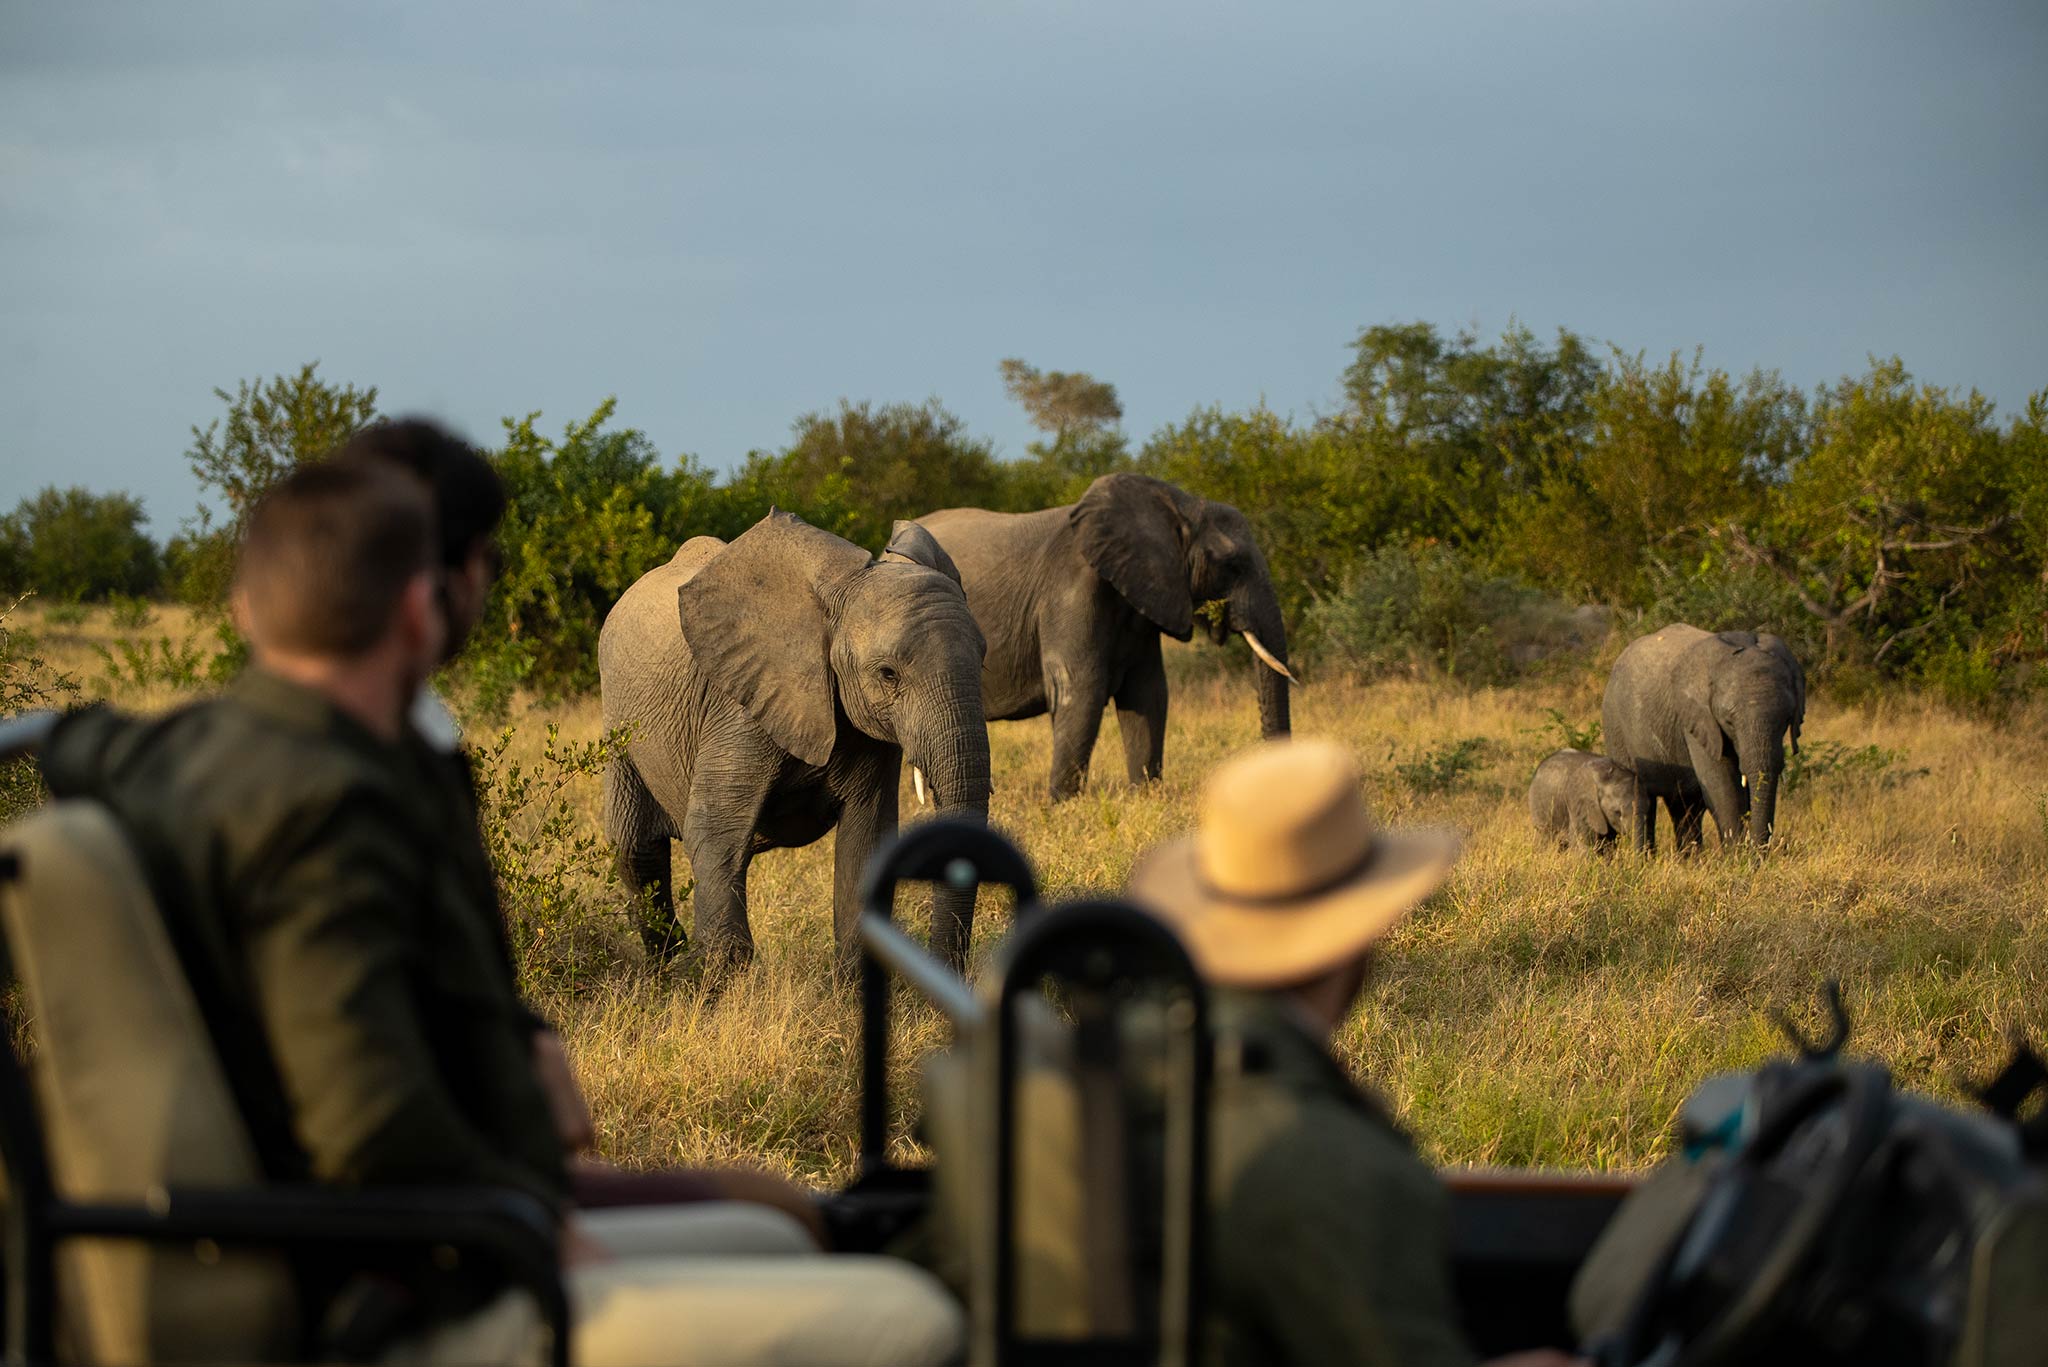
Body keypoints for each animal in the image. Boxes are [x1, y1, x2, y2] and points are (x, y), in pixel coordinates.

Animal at [598, 510, 991, 971]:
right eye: (888, 674)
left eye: (983, 659)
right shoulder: (739, 708)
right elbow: (714, 831)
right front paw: (713, 980)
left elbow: (866, 839)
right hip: (619, 724)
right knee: (636, 849)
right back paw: (666, 970)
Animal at [917, 473, 1294, 803]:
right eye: (1232, 565)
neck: (1179, 504)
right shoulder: (1071, 588)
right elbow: (1081, 688)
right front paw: (1063, 807)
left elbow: (1148, 693)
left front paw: (1145, 798)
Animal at [1597, 627, 1810, 848]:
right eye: (1729, 722)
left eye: (1786, 719)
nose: (1758, 850)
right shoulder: (1699, 719)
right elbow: (1721, 786)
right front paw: (1739, 854)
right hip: (1615, 724)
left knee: (1685, 807)